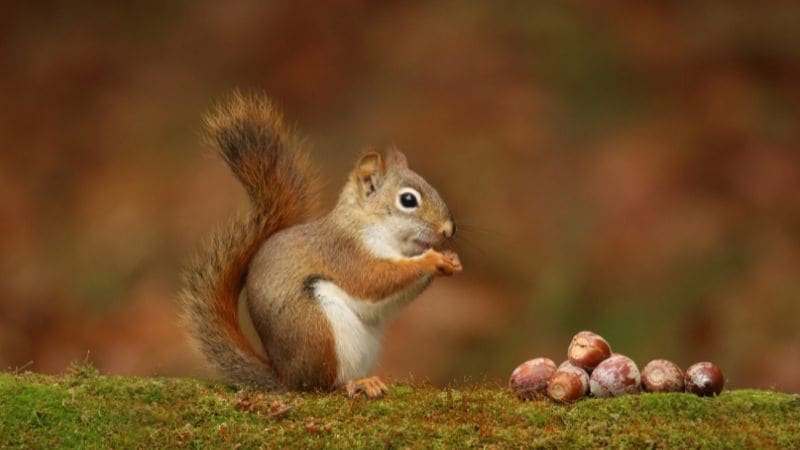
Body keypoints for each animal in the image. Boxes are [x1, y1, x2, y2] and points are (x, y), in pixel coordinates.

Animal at [180, 91, 461, 398]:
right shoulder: (345, 254)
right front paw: (432, 260)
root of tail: (286, 379)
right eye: (408, 200)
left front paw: (451, 260)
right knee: (321, 387)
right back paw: (355, 384)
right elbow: (374, 280)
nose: (448, 230)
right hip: (318, 329)